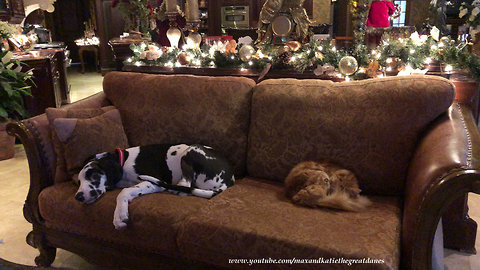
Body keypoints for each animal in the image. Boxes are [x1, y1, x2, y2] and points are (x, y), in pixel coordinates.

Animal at [74, 144, 236, 229]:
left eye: (93, 175)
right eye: (79, 181)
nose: (78, 196)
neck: (123, 161)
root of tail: (228, 180)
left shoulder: (151, 181)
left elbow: (124, 192)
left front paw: (119, 215)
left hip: (191, 150)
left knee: (185, 186)